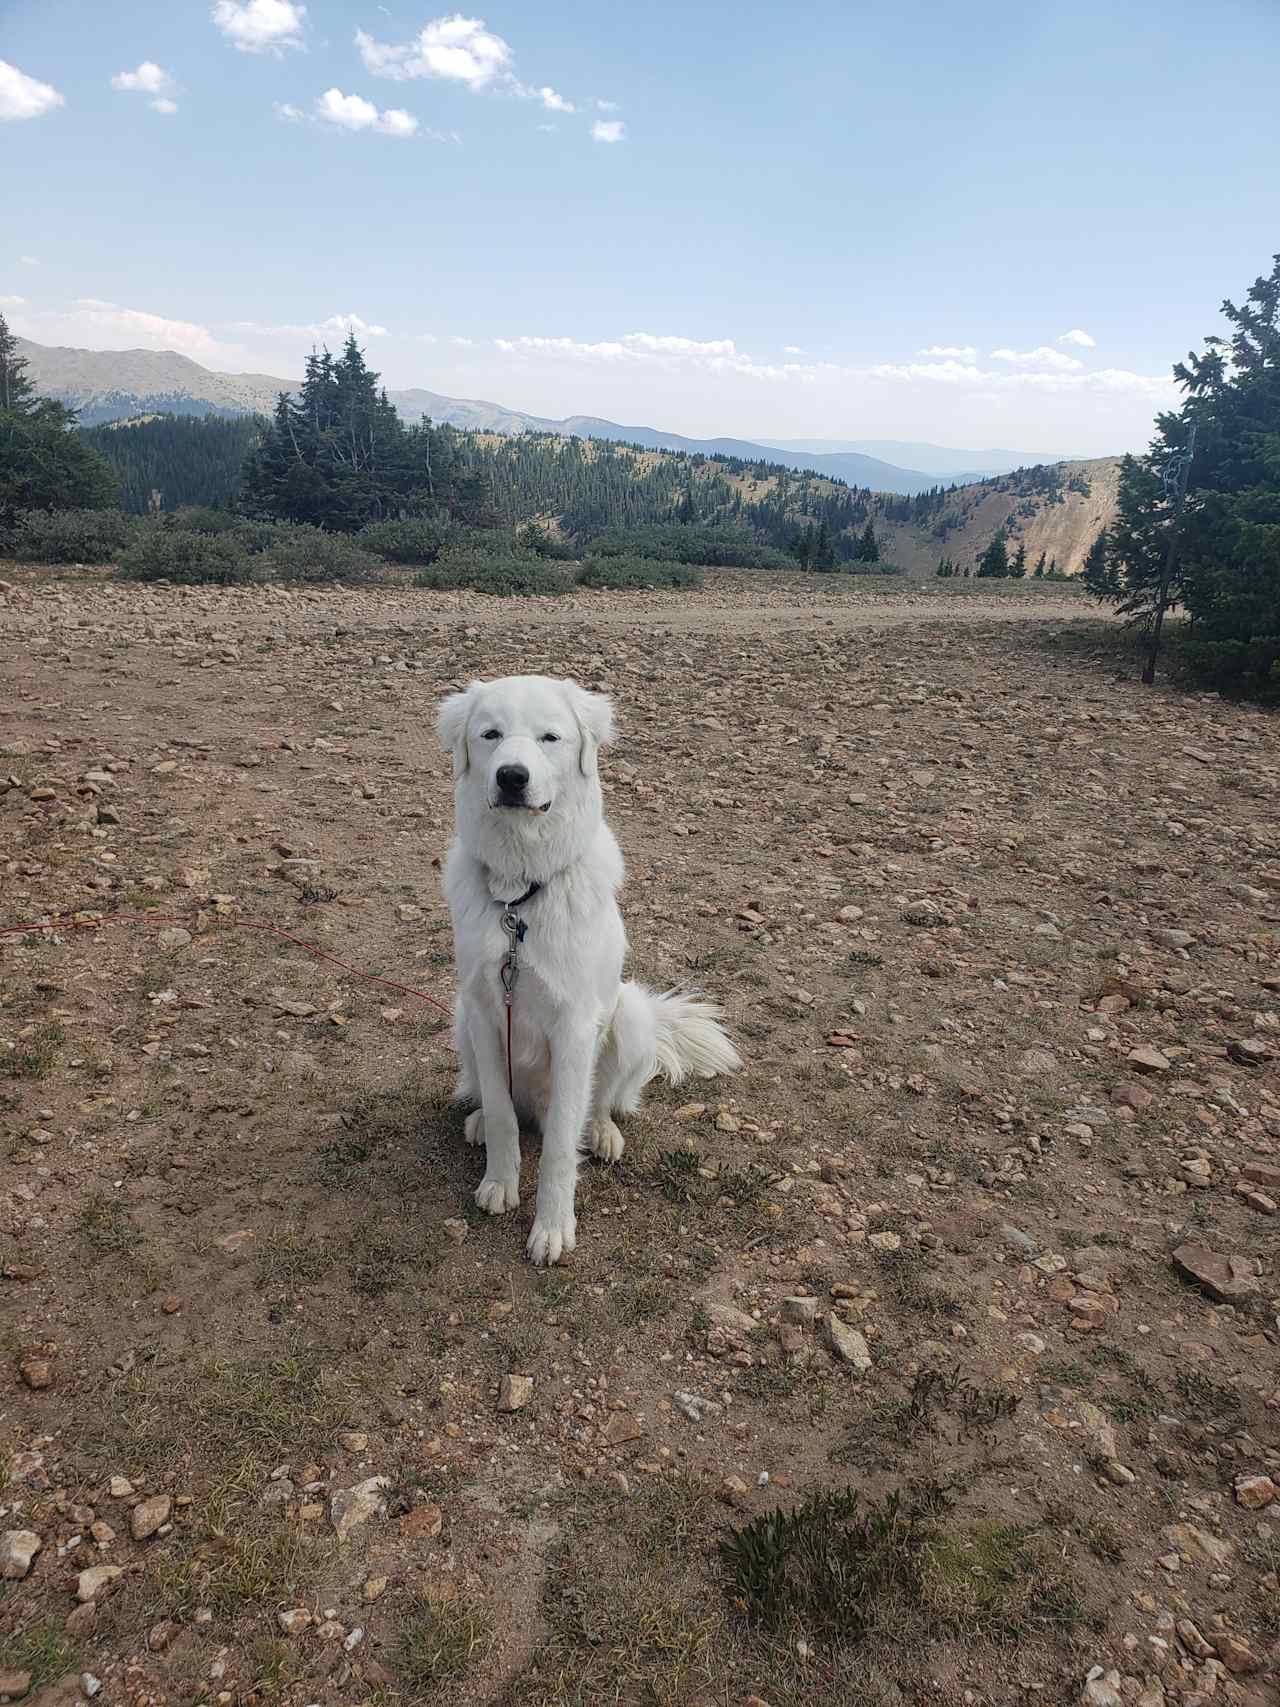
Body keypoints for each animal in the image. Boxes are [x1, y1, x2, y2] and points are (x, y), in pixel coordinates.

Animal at [440, 672, 740, 1263]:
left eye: (550, 738)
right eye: (490, 735)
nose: (512, 777)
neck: (520, 895)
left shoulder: (575, 1028)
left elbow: (560, 1144)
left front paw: (552, 1227)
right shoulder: (485, 1010)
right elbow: (506, 1117)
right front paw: (500, 1181)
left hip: (630, 1015)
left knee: (599, 1104)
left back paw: (601, 1133)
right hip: (462, 1020)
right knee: (498, 1101)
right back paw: (482, 1120)